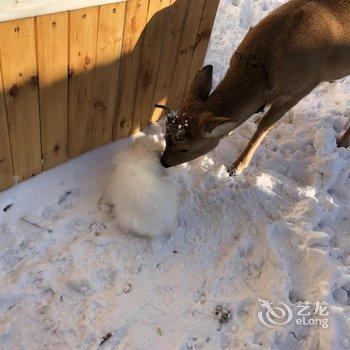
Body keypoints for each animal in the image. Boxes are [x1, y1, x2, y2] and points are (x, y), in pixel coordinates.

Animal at [158, 0, 350, 175]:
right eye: (166, 136)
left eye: (185, 148)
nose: (163, 161)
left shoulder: (300, 89)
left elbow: (264, 127)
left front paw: (237, 167)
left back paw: (342, 144)